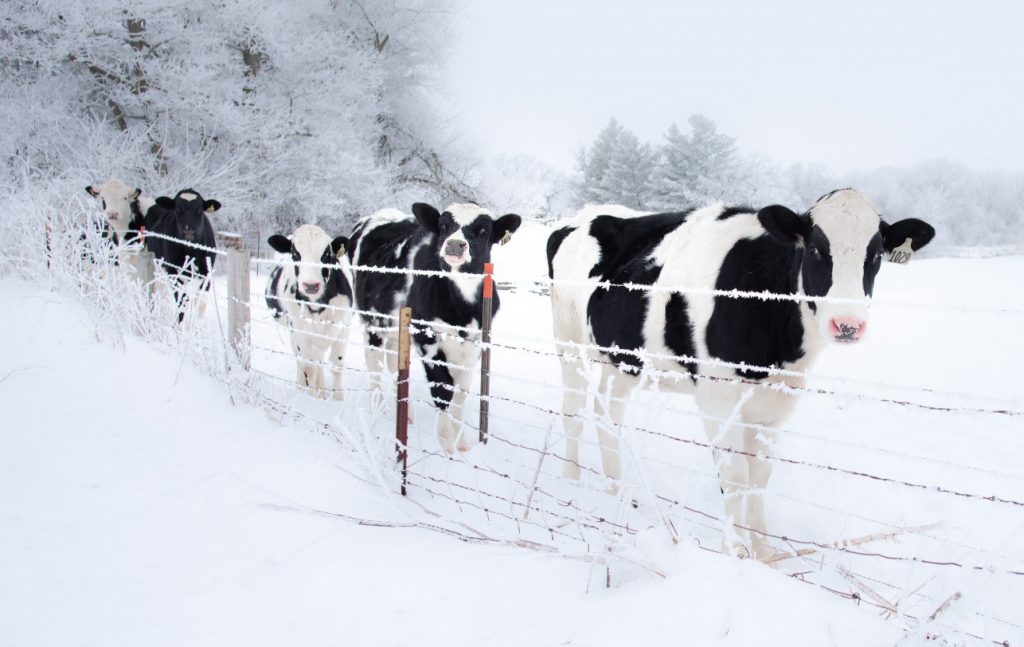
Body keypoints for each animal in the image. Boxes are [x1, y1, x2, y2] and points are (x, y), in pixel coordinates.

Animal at [141, 189, 221, 322]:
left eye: (199, 210)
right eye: (177, 209)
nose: (188, 231)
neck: (191, 252)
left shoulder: (207, 273)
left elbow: (200, 302)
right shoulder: (174, 272)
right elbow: (182, 301)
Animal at [265, 225, 354, 399]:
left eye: (327, 254)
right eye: (295, 254)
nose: (311, 285)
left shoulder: (344, 328)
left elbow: (336, 366)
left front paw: (338, 399)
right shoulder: (300, 330)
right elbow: (309, 368)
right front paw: (311, 398)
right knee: (302, 360)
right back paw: (304, 387)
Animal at [349, 203, 521, 454]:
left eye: (483, 231)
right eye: (443, 226)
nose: (454, 244)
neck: (461, 309)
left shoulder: (474, 344)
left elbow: (461, 392)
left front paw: (462, 443)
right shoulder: (426, 338)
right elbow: (443, 388)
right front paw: (446, 444)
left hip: (395, 325)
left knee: (393, 361)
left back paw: (406, 412)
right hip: (372, 319)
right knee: (374, 362)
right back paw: (378, 406)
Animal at [547, 189, 935, 561]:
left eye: (877, 254)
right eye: (815, 248)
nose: (848, 324)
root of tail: (587, 213)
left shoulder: (776, 399)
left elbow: (758, 476)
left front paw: (763, 555)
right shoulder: (718, 396)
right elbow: (734, 477)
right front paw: (733, 555)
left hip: (621, 361)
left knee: (607, 416)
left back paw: (616, 493)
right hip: (568, 337)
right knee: (573, 411)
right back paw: (571, 480)